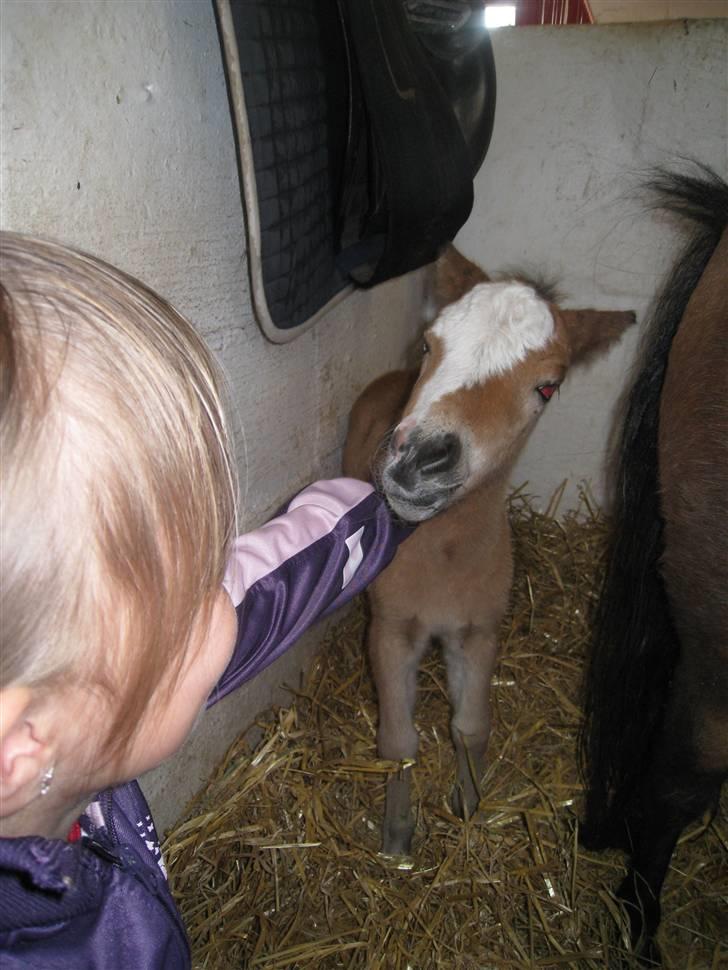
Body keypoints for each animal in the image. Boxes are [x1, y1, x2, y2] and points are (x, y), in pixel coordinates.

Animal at [344, 244, 636, 856]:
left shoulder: (478, 629)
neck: (444, 559)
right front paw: (397, 839)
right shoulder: (390, 630)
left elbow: (472, 727)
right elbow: (398, 741)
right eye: (428, 343)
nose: (421, 460)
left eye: (547, 386)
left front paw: (468, 805)